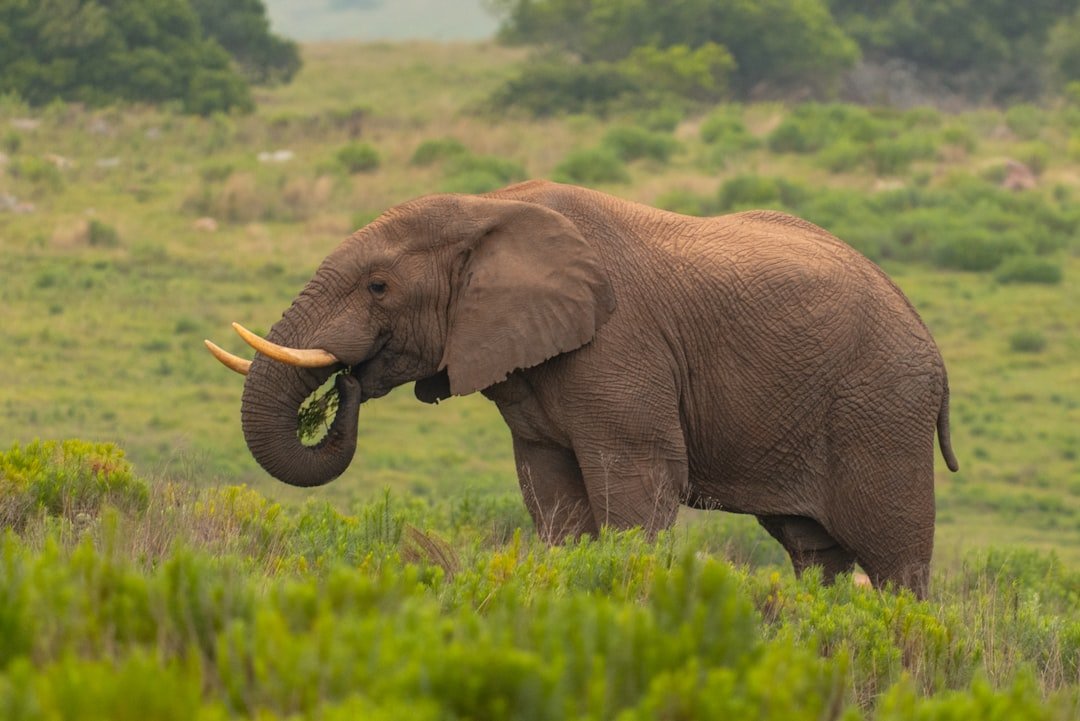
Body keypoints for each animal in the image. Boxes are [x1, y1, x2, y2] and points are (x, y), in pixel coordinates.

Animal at [206, 179, 958, 598]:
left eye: (379, 287)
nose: (348, 384)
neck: (488, 207)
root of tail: (931, 341)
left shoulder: (622, 348)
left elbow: (638, 486)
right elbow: (552, 495)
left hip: (881, 408)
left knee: (895, 559)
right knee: (814, 552)